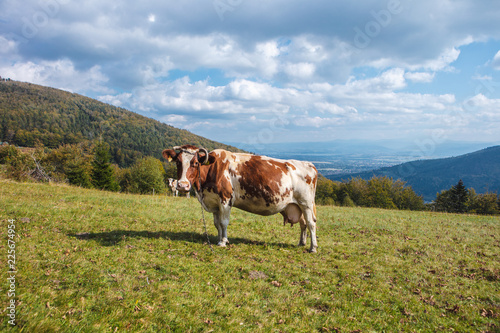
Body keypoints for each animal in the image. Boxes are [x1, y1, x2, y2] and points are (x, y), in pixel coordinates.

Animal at [164, 144, 320, 250]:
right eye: (178, 162)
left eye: (195, 163)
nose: (182, 185)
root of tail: (308, 164)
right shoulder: (214, 202)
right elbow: (217, 223)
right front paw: (219, 239)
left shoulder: (225, 199)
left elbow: (223, 222)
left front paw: (223, 242)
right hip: (296, 205)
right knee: (303, 223)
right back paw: (301, 243)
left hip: (306, 203)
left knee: (311, 223)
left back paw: (312, 247)